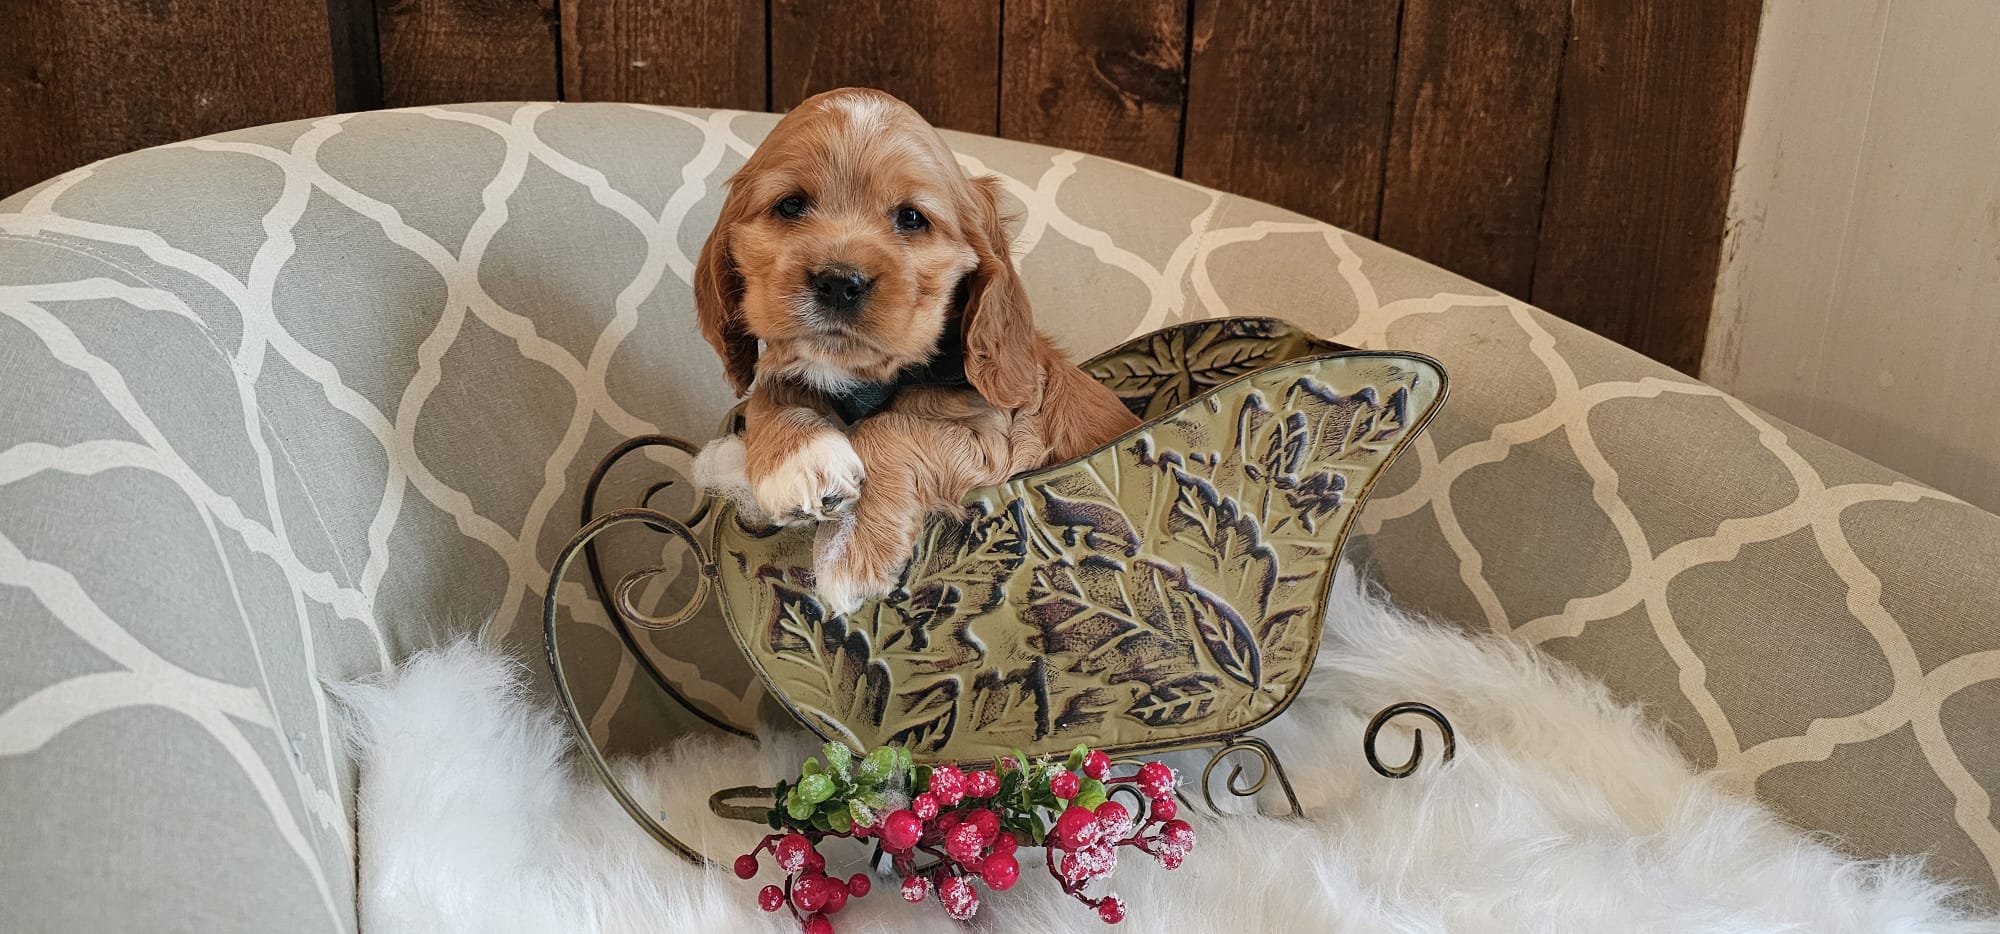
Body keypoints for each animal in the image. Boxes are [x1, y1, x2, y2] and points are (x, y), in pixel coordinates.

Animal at [692, 87, 1139, 615]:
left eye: (911, 218)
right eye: (791, 205)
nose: (839, 282)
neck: (866, 382)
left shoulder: (1006, 442)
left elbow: (889, 428)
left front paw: (848, 552)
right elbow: (772, 389)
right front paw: (799, 461)